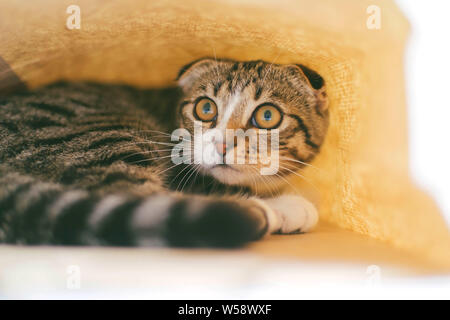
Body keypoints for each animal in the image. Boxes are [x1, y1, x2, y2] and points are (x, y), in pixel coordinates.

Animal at [0, 58, 330, 248]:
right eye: (205, 108)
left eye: (267, 116)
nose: (222, 145)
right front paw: (287, 205)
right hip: (107, 136)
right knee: (128, 193)